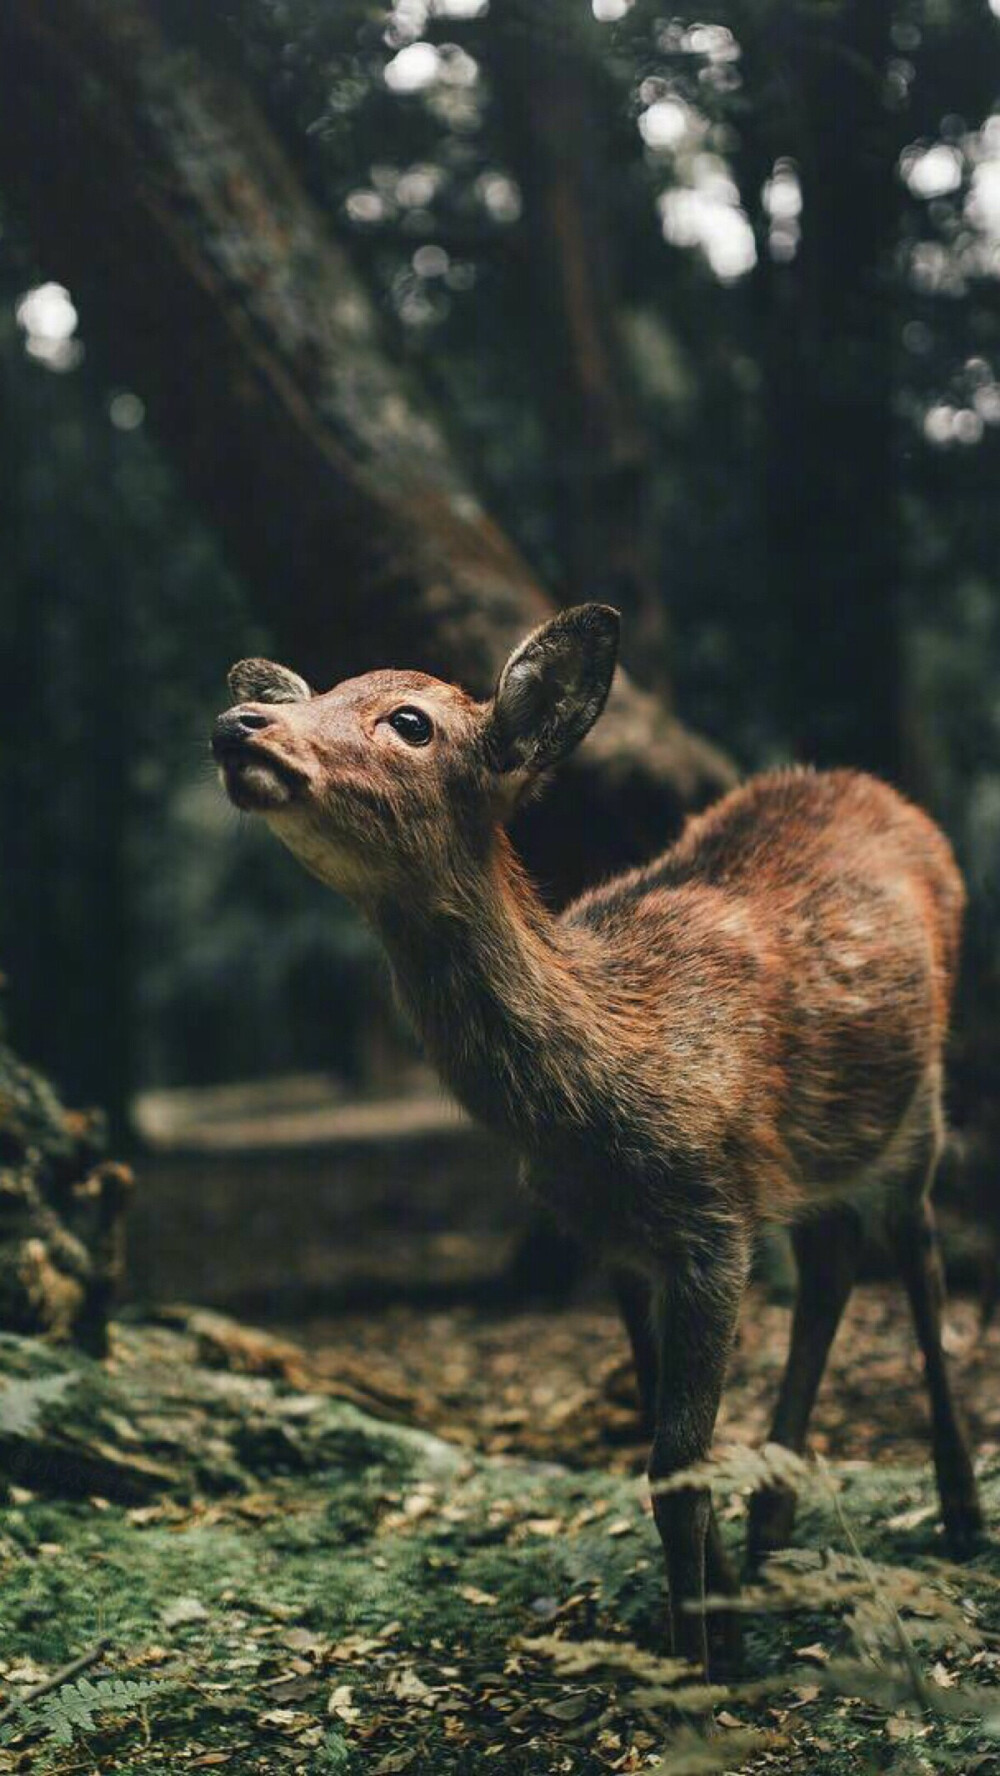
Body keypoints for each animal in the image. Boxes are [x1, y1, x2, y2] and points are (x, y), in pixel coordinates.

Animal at [211, 603, 987, 1669]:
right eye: (317, 690)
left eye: (410, 721)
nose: (239, 722)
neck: (605, 1090)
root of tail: (889, 796)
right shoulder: (614, 1239)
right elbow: (664, 1451)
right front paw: (711, 1621)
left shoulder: (711, 1222)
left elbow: (676, 1458)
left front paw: (712, 1663)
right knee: (833, 1260)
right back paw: (774, 1523)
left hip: (918, 1109)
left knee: (918, 1258)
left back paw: (961, 1515)